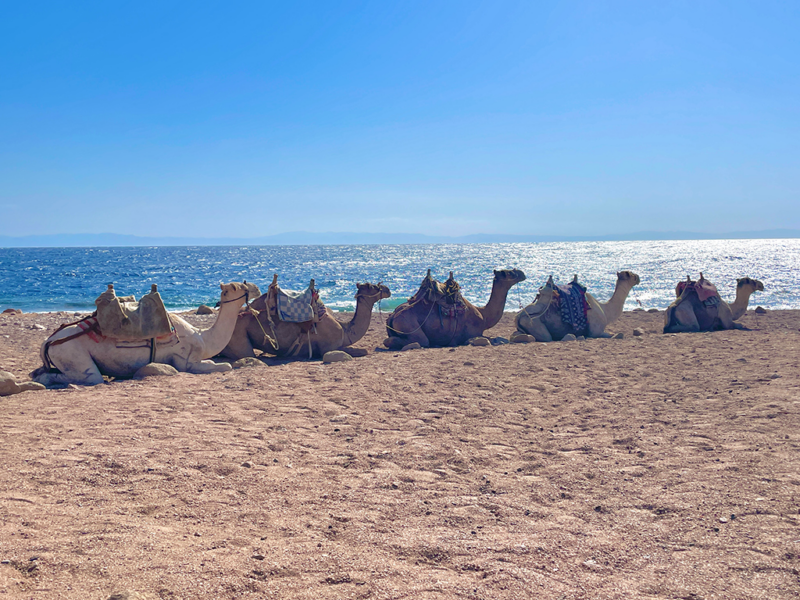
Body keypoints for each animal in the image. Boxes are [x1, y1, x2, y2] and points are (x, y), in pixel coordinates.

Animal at [33, 280, 260, 384]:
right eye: (239, 287)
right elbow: (224, 366)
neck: (202, 336)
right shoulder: (186, 361)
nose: (256, 287)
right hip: (71, 353)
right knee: (88, 376)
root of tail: (49, 340)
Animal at [220, 278, 392, 358]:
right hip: (237, 335)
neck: (345, 329)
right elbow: (361, 351)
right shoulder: (328, 347)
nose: (387, 289)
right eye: (372, 286)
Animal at [382, 270, 524, 350]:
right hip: (409, 324)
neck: (484, 315)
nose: (522, 273)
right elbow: (492, 339)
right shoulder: (473, 333)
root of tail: (392, 316)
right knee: (418, 341)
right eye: (509, 273)